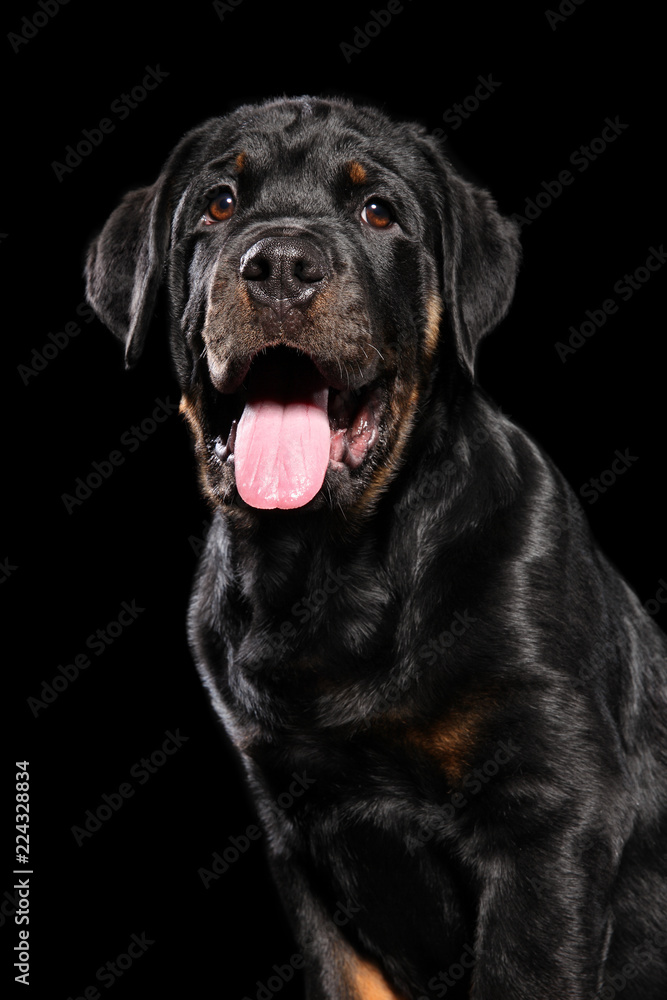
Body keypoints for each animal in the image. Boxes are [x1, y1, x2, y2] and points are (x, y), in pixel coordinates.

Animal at [85, 95, 667, 1000]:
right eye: (218, 204)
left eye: (378, 212)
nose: (279, 264)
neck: (328, 572)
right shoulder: (306, 847)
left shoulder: (551, 813)